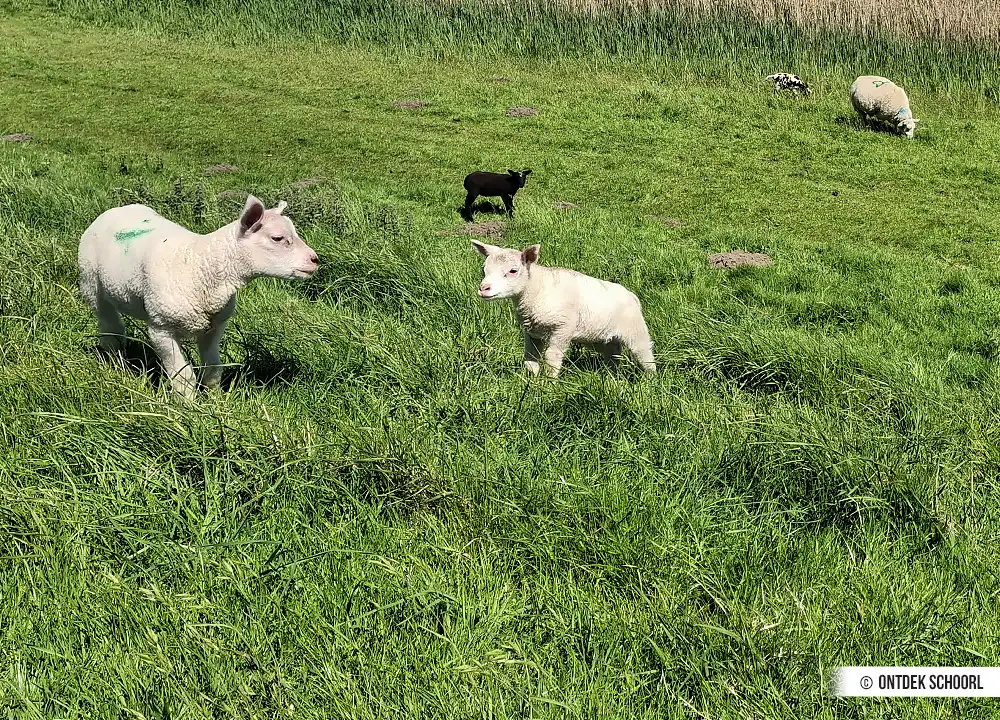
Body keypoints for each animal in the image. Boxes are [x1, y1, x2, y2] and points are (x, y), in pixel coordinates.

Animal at [78, 194, 319, 400]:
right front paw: (189, 407)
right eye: (277, 238)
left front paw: (216, 402)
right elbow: (183, 377)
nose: (315, 260)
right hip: (91, 282)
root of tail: (116, 209)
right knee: (110, 328)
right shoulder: (161, 327)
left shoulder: (214, 325)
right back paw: (116, 363)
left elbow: (212, 371)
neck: (199, 263)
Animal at [471, 240, 656, 377]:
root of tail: (632, 295)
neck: (537, 289)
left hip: (635, 331)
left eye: (513, 271)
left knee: (645, 354)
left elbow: (551, 358)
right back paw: (612, 376)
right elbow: (530, 360)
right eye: (484, 269)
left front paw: (549, 383)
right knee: (613, 355)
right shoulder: (531, 332)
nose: (484, 288)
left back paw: (650, 380)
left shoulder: (562, 328)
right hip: (605, 338)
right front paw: (531, 382)